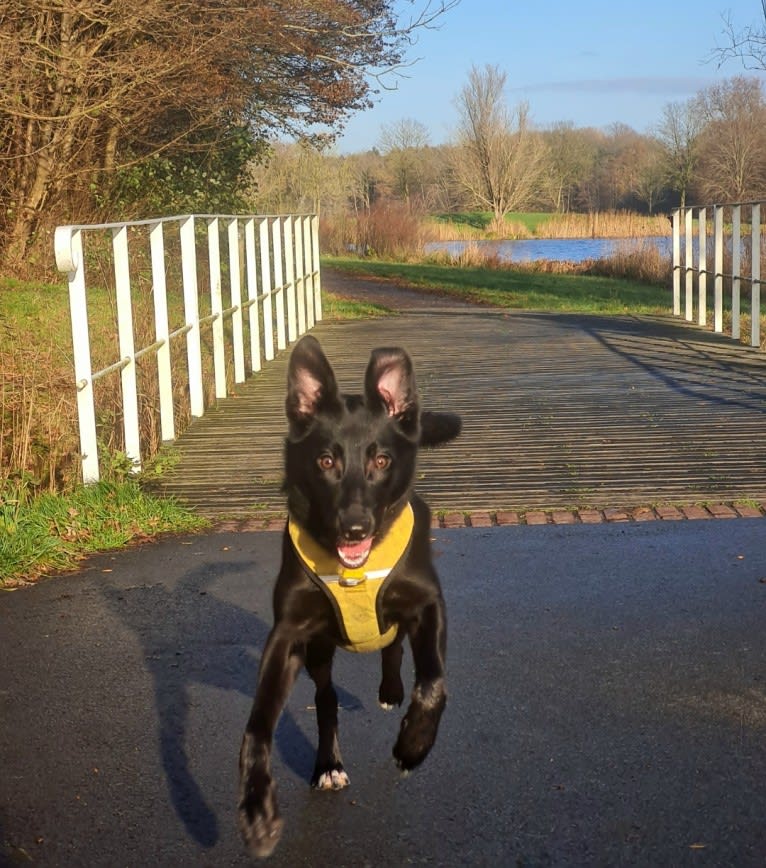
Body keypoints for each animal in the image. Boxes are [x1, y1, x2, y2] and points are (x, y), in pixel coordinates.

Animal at [237, 336, 462, 856]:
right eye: (326, 461)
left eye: (381, 461)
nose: (354, 528)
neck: (353, 571)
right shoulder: (288, 634)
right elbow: (257, 725)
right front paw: (257, 807)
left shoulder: (429, 604)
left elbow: (433, 684)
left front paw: (412, 746)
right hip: (319, 648)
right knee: (326, 699)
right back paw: (328, 764)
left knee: (393, 645)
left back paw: (391, 692)